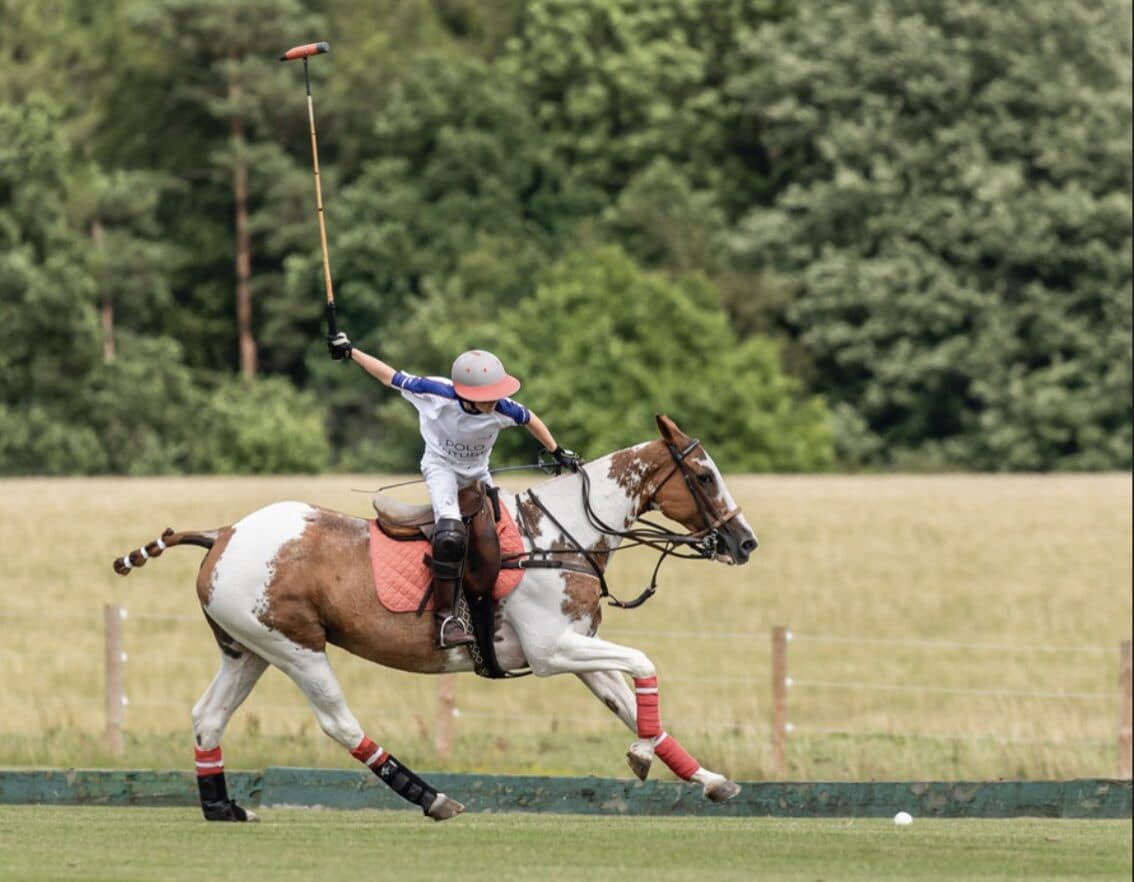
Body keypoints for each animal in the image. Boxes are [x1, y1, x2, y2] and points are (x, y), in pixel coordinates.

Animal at [112, 414, 758, 822]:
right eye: (704, 476)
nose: (745, 542)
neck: (562, 534)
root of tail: (223, 533)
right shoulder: (552, 651)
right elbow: (645, 665)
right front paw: (644, 757)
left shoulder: (575, 649)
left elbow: (630, 702)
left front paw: (709, 779)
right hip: (297, 648)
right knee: (339, 723)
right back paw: (432, 798)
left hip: (248, 647)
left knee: (207, 716)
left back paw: (221, 807)